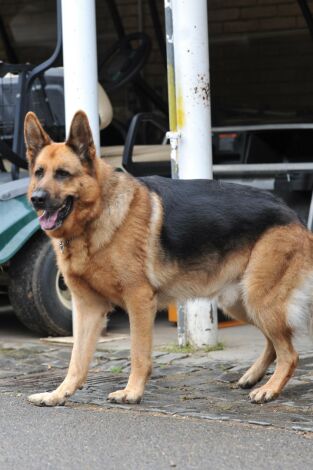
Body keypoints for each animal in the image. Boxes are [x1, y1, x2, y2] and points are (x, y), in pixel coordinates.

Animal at [23, 112, 312, 406]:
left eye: (63, 174)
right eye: (39, 173)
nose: (37, 199)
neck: (97, 215)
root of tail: (292, 213)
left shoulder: (138, 301)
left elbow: (138, 353)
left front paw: (132, 392)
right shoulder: (88, 308)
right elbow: (77, 359)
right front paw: (58, 394)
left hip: (258, 300)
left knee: (290, 353)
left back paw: (270, 388)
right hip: (239, 303)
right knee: (274, 344)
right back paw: (254, 377)